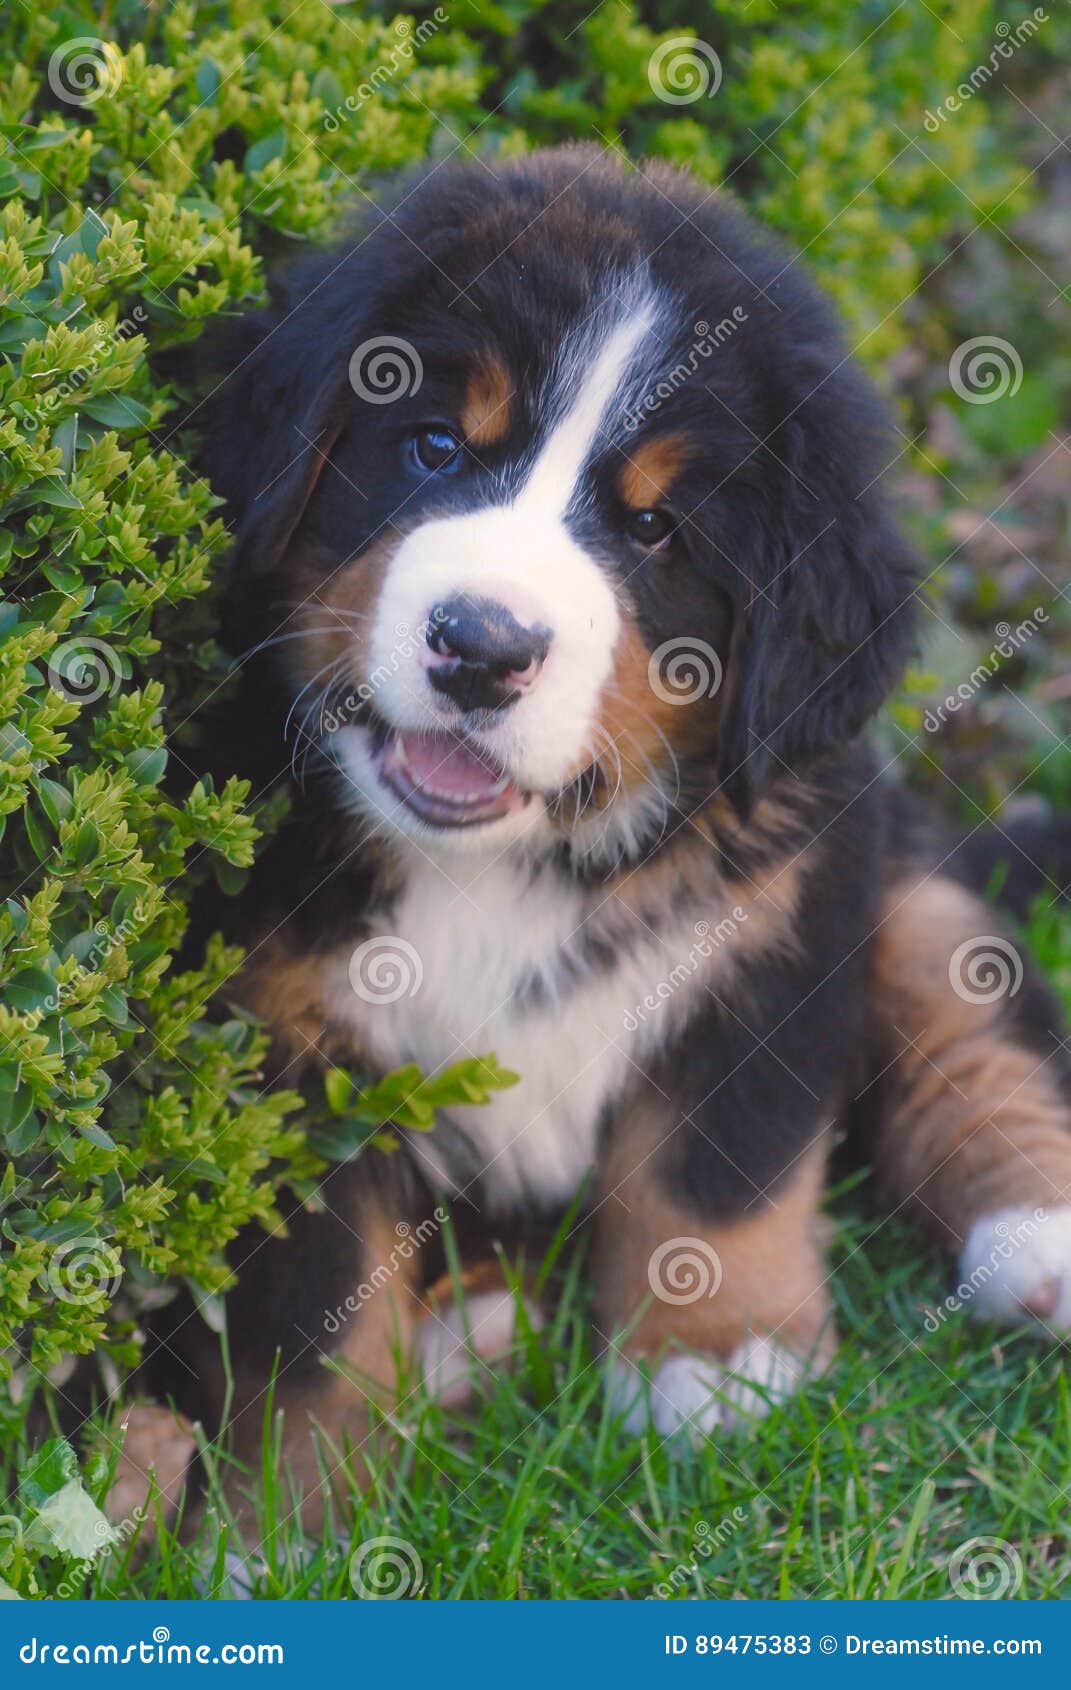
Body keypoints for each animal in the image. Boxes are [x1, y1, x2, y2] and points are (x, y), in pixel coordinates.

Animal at [139, 145, 1067, 1521]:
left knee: (969, 1013)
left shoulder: (779, 917)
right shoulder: (278, 1042)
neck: (502, 865)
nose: (481, 645)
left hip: (896, 865)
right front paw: (301, 1513)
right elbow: (317, 1311)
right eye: (430, 447)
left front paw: (717, 1363)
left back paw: (1035, 1231)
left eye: (651, 528)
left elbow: (718, 1168)